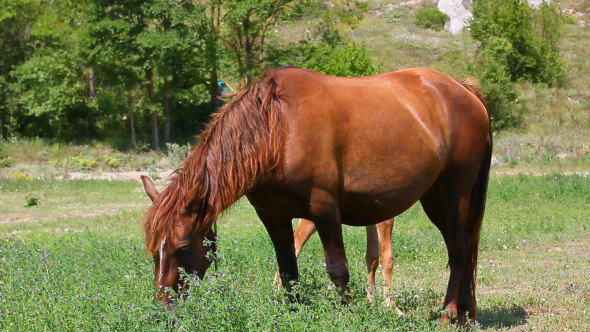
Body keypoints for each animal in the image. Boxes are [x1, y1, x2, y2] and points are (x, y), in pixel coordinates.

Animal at [141, 67, 492, 324]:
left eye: (181, 247)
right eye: (155, 251)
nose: (160, 311)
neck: (278, 130)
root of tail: (462, 89)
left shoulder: (324, 209)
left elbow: (338, 269)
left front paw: (348, 315)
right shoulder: (273, 216)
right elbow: (288, 271)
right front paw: (293, 313)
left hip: (451, 196)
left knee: (459, 252)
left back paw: (448, 316)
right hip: (436, 198)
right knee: (463, 248)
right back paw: (465, 314)